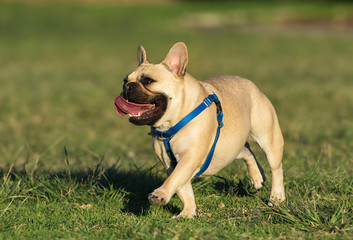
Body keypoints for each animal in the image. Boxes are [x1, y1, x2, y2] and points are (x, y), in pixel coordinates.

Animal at [114, 42, 284, 218]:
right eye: (124, 80)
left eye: (148, 80)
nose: (127, 86)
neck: (170, 123)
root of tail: (249, 83)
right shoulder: (171, 163)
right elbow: (183, 188)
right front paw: (187, 213)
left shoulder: (190, 157)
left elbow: (174, 179)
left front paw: (160, 194)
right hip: (229, 148)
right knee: (246, 150)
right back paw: (257, 176)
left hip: (268, 139)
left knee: (276, 169)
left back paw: (276, 198)